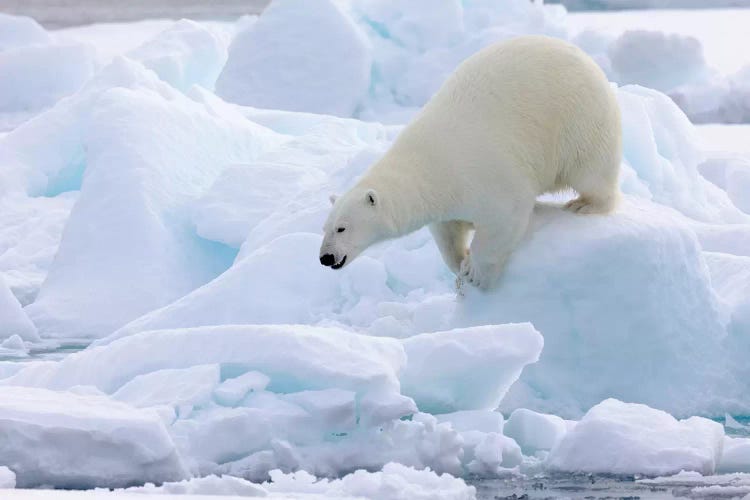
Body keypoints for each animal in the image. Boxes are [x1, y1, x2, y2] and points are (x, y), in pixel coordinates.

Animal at [322, 36, 624, 290]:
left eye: (342, 227)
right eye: (325, 227)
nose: (325, 257)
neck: (430, 164)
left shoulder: (483, 174)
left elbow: (505, 216)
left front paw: (476, 272)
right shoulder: (444, 201)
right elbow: (448, 233)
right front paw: (460, 265)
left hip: (580, 121)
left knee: (591, 170)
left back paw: (583, 204)